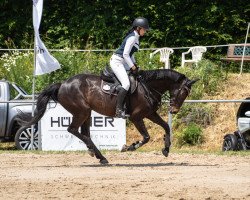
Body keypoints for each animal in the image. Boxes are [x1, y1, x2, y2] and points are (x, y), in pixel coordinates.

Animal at [17, 69, 198, 164]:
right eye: (183, 92)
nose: (174, 110)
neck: (147, 87)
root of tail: (62, 84)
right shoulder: (136, 117)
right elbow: (146, 137)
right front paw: (129, 147)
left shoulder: (150, 113)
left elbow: (166, 126)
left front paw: (166, 149)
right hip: (81, 111)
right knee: (73, 130)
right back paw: (99, 155)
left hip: (87, 113)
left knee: (84, 133)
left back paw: (97, 154)